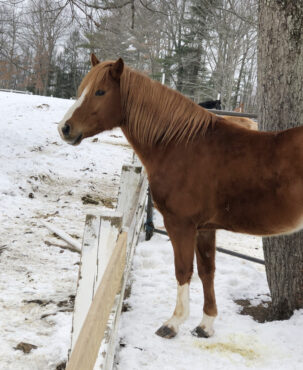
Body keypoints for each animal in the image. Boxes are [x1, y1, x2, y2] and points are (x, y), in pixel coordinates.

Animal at [58, 53, 303, 340]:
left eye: (100, 91)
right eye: (81, 90)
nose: (65, 128)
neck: (180, 144)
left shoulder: (181, 225)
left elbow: (183, 270)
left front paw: (174, 323)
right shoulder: (206, 228)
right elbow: (207, 271)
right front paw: (206, 324)